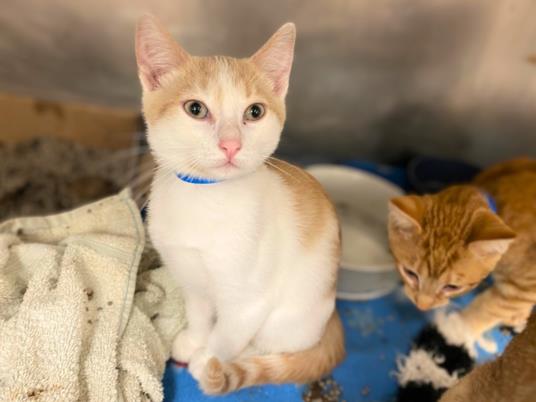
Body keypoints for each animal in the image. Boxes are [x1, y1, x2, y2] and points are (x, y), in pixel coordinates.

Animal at [134, 14, 344, 394]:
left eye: (255, 112)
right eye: (196, 109)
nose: (231, 144)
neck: (206, 198)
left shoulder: (249, 302)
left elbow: (227, 334)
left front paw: (208, 360)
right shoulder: (190, 276)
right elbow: (199, 311)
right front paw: (195, 339)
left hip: (291, 316)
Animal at [388, 159, 536, 340]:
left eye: (452, 287)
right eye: (410, 274)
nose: (422, 306)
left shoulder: (527, 285)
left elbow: (494, 306)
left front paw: (457, 330)